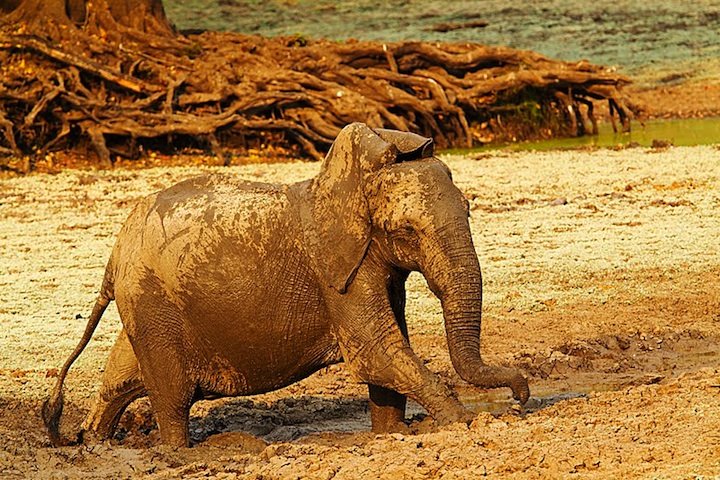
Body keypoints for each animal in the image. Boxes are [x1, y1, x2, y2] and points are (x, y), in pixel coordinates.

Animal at [43, 122, 528, 448]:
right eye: (407, 231)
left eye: (468, 210)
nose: (521, 398)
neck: (347, 180)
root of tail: (115, 253)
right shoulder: (336, 271)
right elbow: (378, 353)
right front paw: (464, 422)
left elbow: (389, 354)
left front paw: (391, 435)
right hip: (150, 302)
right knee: (171, 398)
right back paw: (180, 453)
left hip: (145, 303)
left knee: (122, 376)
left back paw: (90, 443)